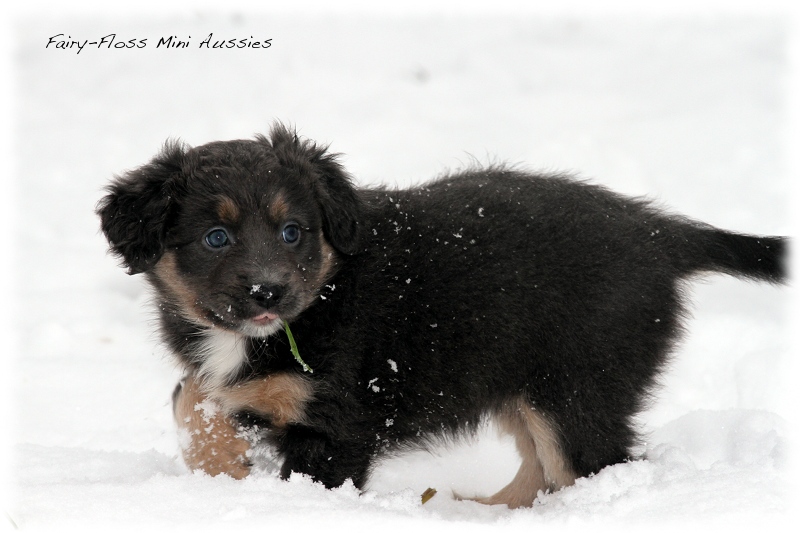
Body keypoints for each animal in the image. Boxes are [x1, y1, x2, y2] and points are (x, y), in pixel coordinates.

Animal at [98, 124, 788, 508]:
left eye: (294, 231)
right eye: (216, 238)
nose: (269, 292)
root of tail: (659, 234)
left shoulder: (337, 425)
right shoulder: (220, 375)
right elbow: (191, 397)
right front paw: (221, 467)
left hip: (576, 387)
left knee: (588, 465)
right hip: (521, 382)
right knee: (540, 469)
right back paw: (483, 510)